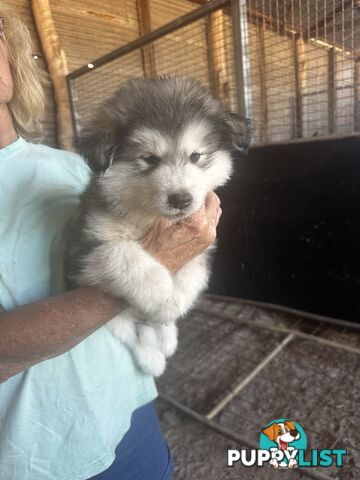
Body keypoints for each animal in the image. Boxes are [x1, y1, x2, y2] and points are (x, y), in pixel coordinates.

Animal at [65, 77, 250, 376]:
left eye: (196, 156)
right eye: (150, 159)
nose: (181, 199)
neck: (149, 217)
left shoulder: (200, 241)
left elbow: (193, 272)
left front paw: (174, 304)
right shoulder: (83, 252)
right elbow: (121, 254)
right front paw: (162, 296)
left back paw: (167, 337)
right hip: (111, 318)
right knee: (132, 334)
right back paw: (152, 358)